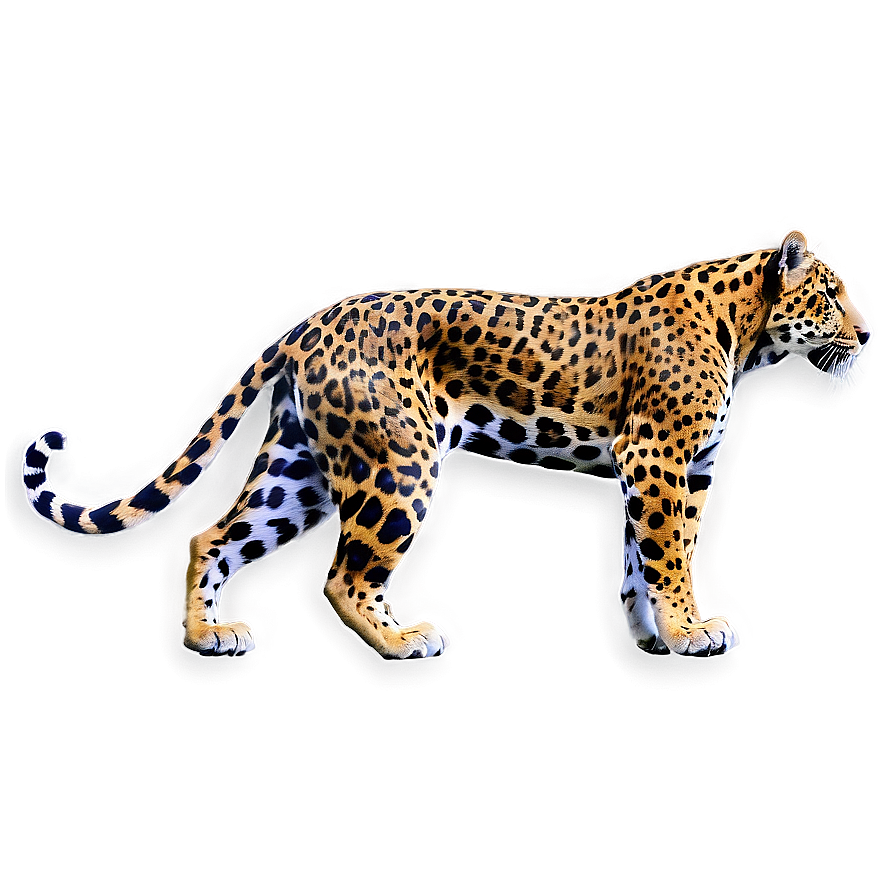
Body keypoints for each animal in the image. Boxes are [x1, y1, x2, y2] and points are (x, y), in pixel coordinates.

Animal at [23, 231, 870, 659]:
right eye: (830, 295)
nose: (868, 335)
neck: (748, 335)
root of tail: (313, 319)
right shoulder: (661, 460)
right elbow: (667, 556)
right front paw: (692, 630)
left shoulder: (677, 469)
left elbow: (642, 557)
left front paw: (653, 636)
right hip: (398, 464)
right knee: (342, 574)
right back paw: (405, 641)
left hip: (300, 469)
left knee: (213, 535)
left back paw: (207, 636)